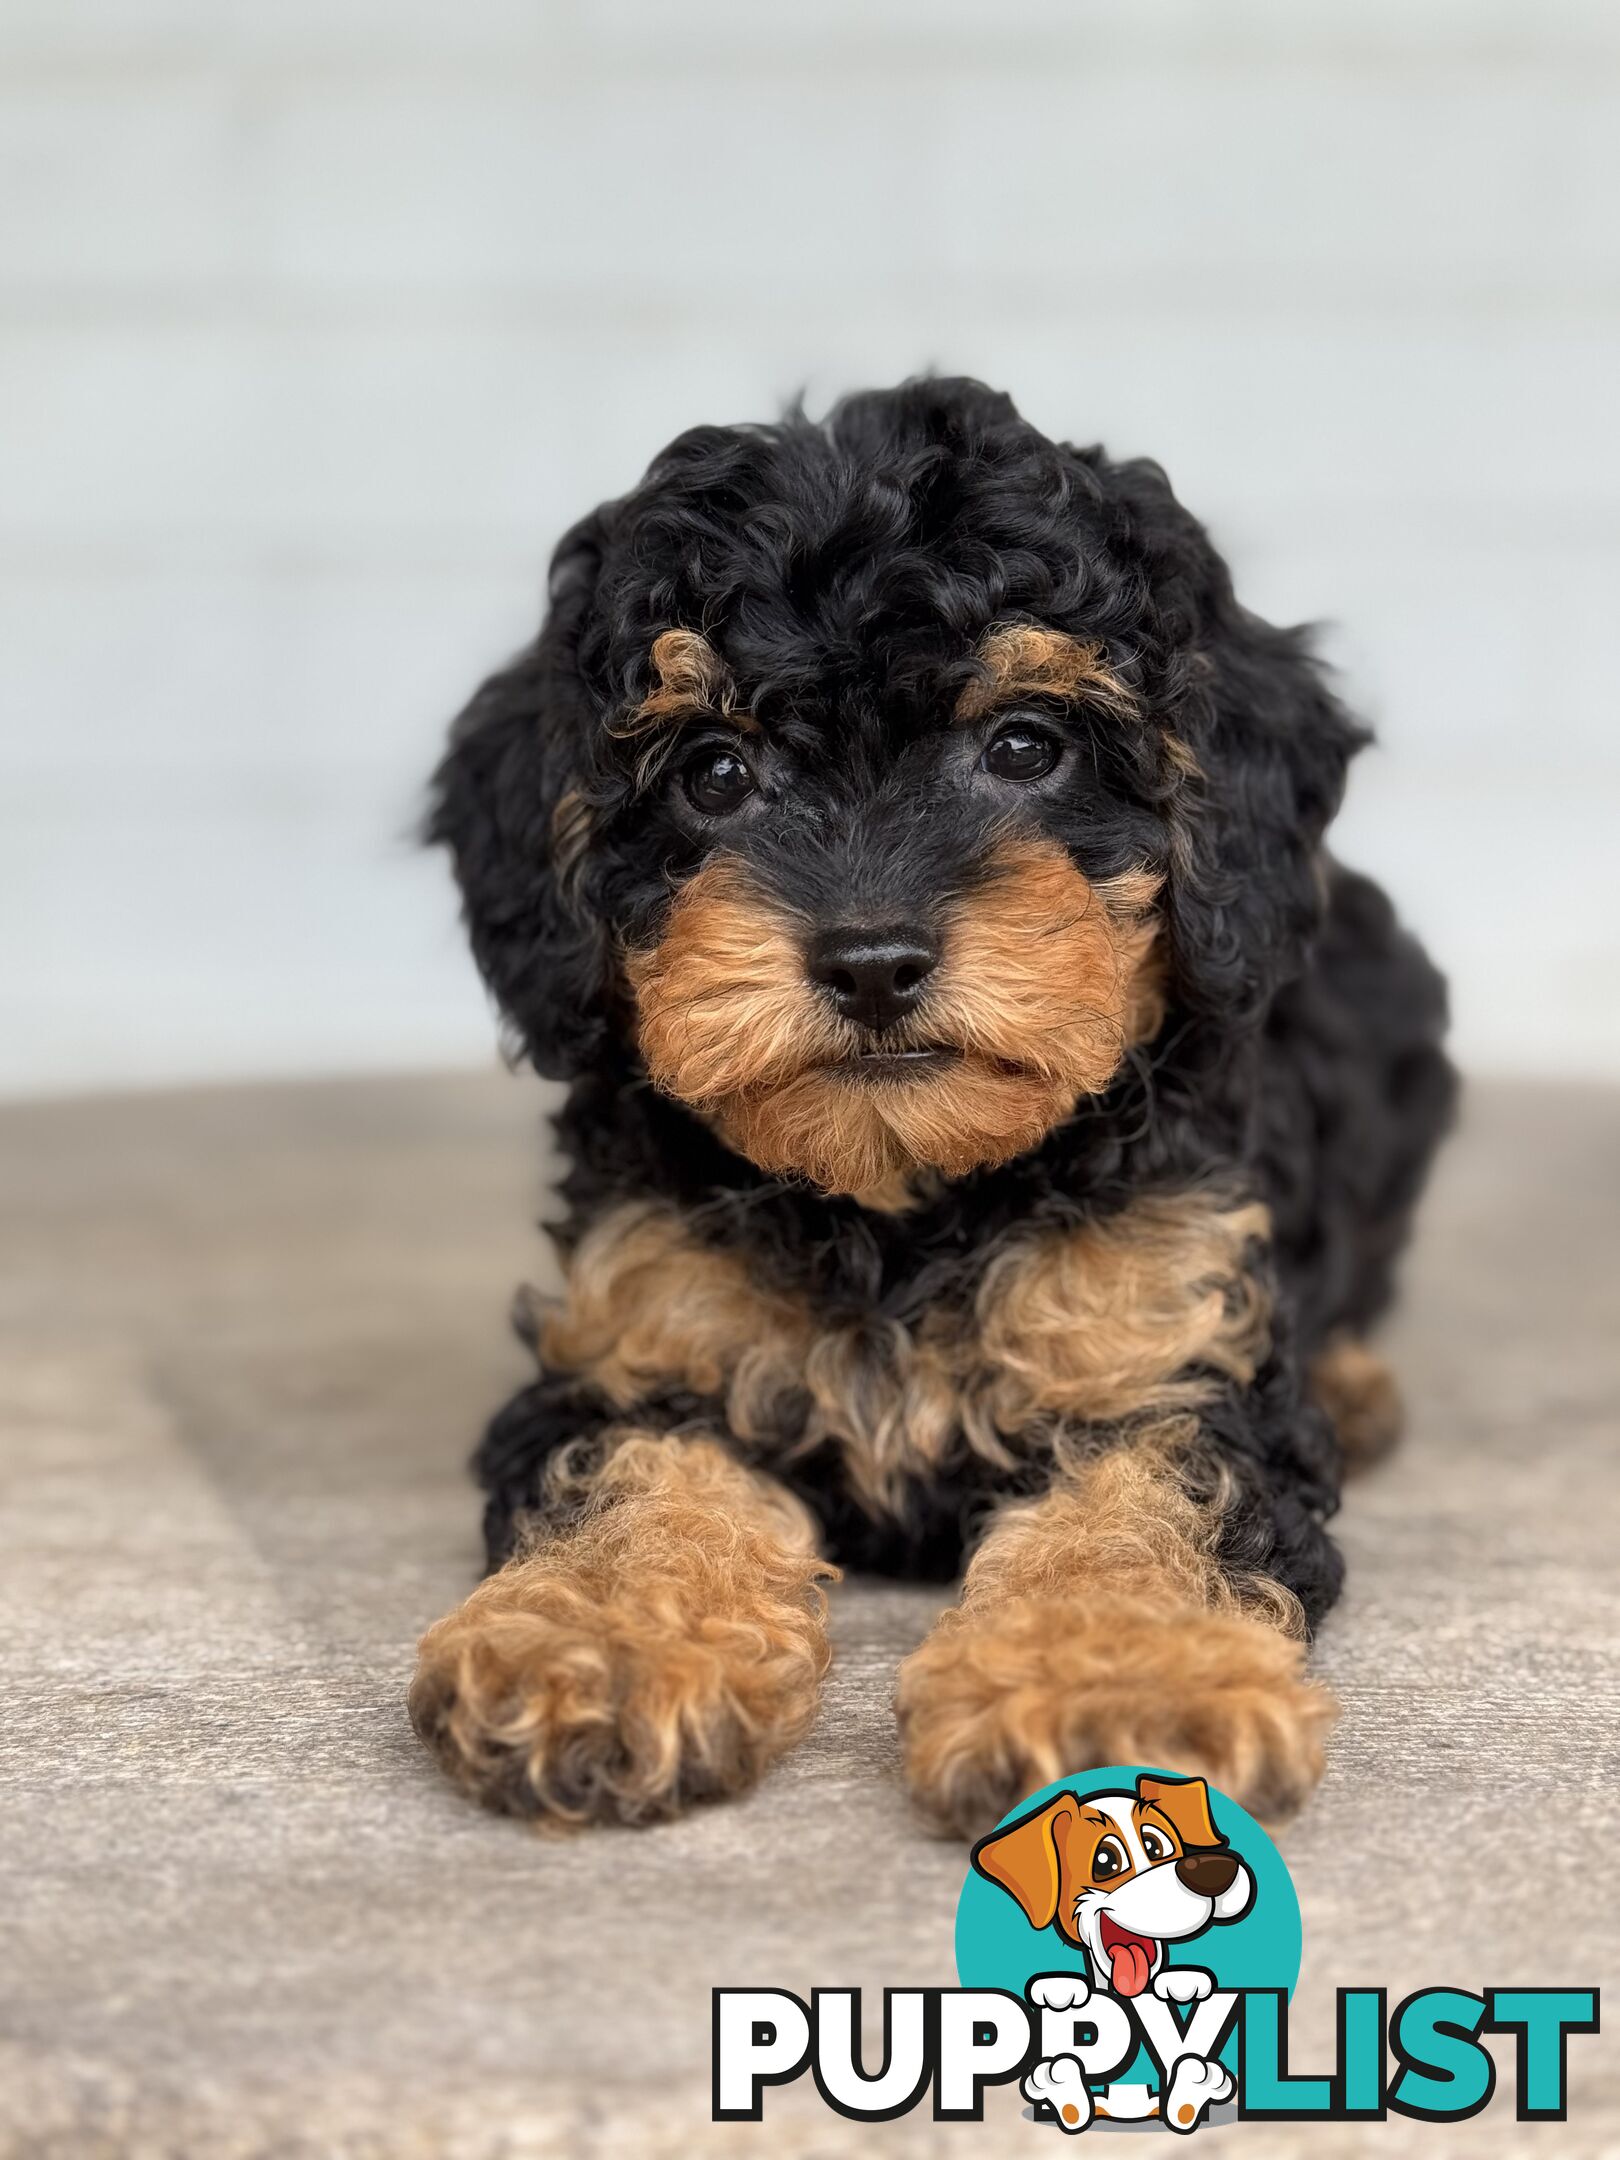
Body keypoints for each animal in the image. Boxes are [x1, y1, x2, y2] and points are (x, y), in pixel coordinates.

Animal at [408, 380, 1460, 1831]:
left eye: (1025, 745)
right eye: (714, 771)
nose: (869, 962)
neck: (899, 1202)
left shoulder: (1171, 1344)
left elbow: (1149, 1491)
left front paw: (1116, 1683)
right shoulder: (636, 1343)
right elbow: (629, 1470)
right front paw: (600, 1639)